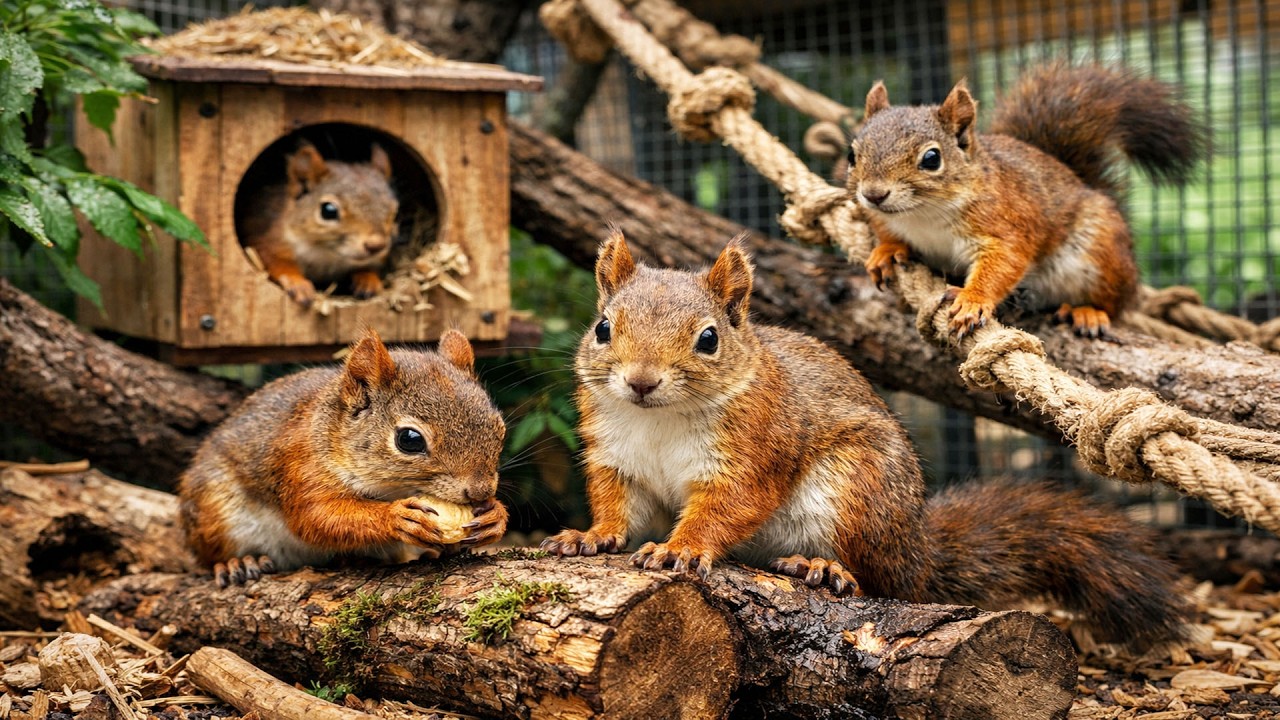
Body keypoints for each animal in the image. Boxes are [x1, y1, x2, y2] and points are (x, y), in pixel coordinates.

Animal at [179, 328, 509, 587]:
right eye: (409, 440)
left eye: (499, 426)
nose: (480, 491)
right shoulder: (301, 466)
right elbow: (317, 516)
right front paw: (396, 517)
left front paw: (495, 516)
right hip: (214, 510)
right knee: (210, 555)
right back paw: (238, 562)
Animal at [240, 139, 400, 309]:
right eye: (328, 211)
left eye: (396, 213)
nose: (376, 246)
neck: (326, 254)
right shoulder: (267, 241)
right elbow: (277, 264)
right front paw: (298, 284)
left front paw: (368, 280)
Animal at [542, 230, 1190, 651]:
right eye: (603, 328)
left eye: (708, 339)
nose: (641, 381)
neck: (660, 419)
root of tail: (917, 548)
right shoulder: (615, 457)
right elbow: (617, 506)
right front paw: (590, 536)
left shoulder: (754, 449)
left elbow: (729, 505)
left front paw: (681, 548)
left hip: (857, 485)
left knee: (879, 581)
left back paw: (822, 568)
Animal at [848, 64, 1207, 338]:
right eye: (852, 154)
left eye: (932, 158)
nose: (874, 194)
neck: (922, 217)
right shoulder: (882, 217)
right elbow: (886, 231)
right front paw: (887, 251)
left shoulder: (1006, 224)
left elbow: (1004, 262)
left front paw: (972, 299)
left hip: (1101, 255)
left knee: (1116, 304)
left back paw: (1088, 311)